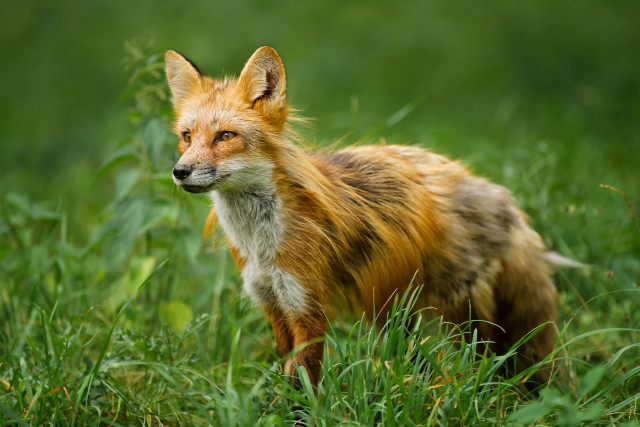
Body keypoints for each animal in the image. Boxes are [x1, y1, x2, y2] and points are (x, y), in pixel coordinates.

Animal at [165, 46, 566, 388]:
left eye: (225, 136)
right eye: (186, 136)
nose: (180, 172)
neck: (260, 243)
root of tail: (501, 196)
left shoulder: (307, 306)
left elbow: (305, 381)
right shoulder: (272, 303)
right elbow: (288, 375)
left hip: (462, 316)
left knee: (490, 367)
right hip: (395, 314)